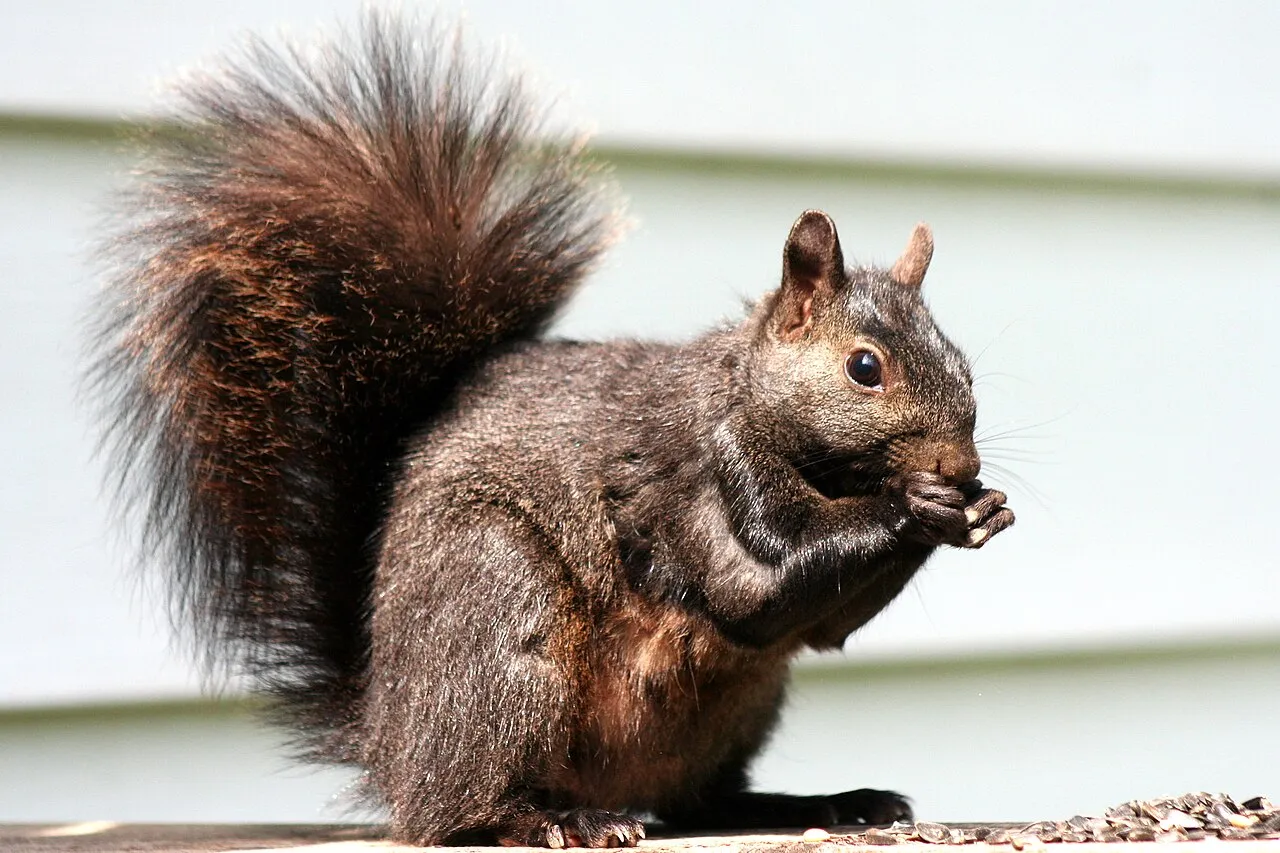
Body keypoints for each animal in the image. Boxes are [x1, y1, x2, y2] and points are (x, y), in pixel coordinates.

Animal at [89, 14, 1015, 849]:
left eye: (965, 364)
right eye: (865, 367)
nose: (957, 460)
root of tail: (391, 741)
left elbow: (823, 628)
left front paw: (980, 506)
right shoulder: (702, 475)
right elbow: (756, 585)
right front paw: (919, 504)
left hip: (737, 709)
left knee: (703, 801)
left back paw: (815, 802)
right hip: (499, 615)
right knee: (460, 811)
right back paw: (549, 818)